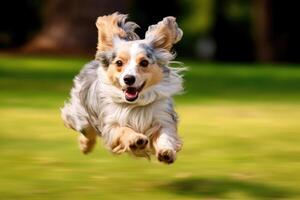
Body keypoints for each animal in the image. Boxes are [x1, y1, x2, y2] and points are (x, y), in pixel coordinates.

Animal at [60, 12, 183, 164]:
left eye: (144, 62)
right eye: (119, 62)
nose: (128, 78)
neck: (135, 105)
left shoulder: (163, 117)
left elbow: (166, 135)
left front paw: (166, 152)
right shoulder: (110, 123)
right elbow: (123, 130)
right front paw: (136, 139)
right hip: (81, 115)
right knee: (86, 130)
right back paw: (85, 145)